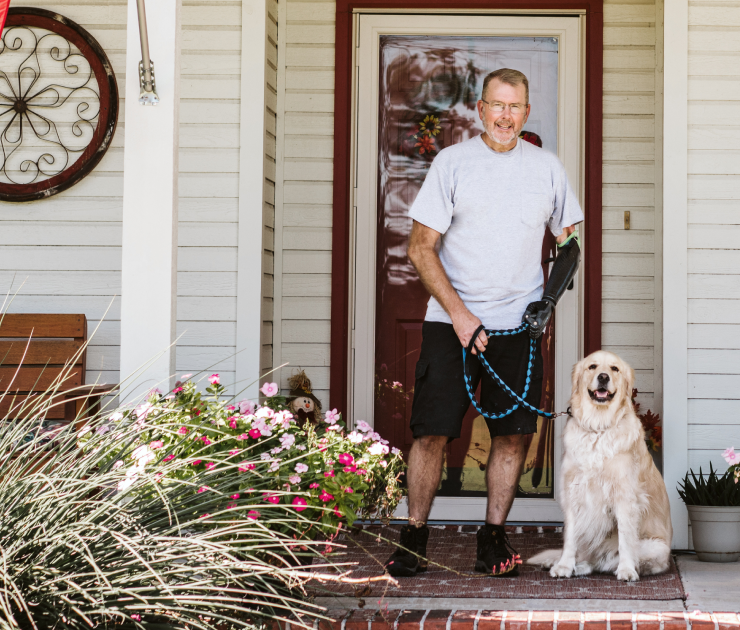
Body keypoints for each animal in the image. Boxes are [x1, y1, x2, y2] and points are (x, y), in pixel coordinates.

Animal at [528, 350, 672, 584]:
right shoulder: (573, 491)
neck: (598, 427)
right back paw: (566, 564)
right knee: (589, 560)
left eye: (614, 369)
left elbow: (625, 539)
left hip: (655, 547)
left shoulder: (625, 497)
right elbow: (570, 538)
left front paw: (627, 570)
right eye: (592, 366)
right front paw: (564, 566)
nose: (603, 377)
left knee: (608, 563)